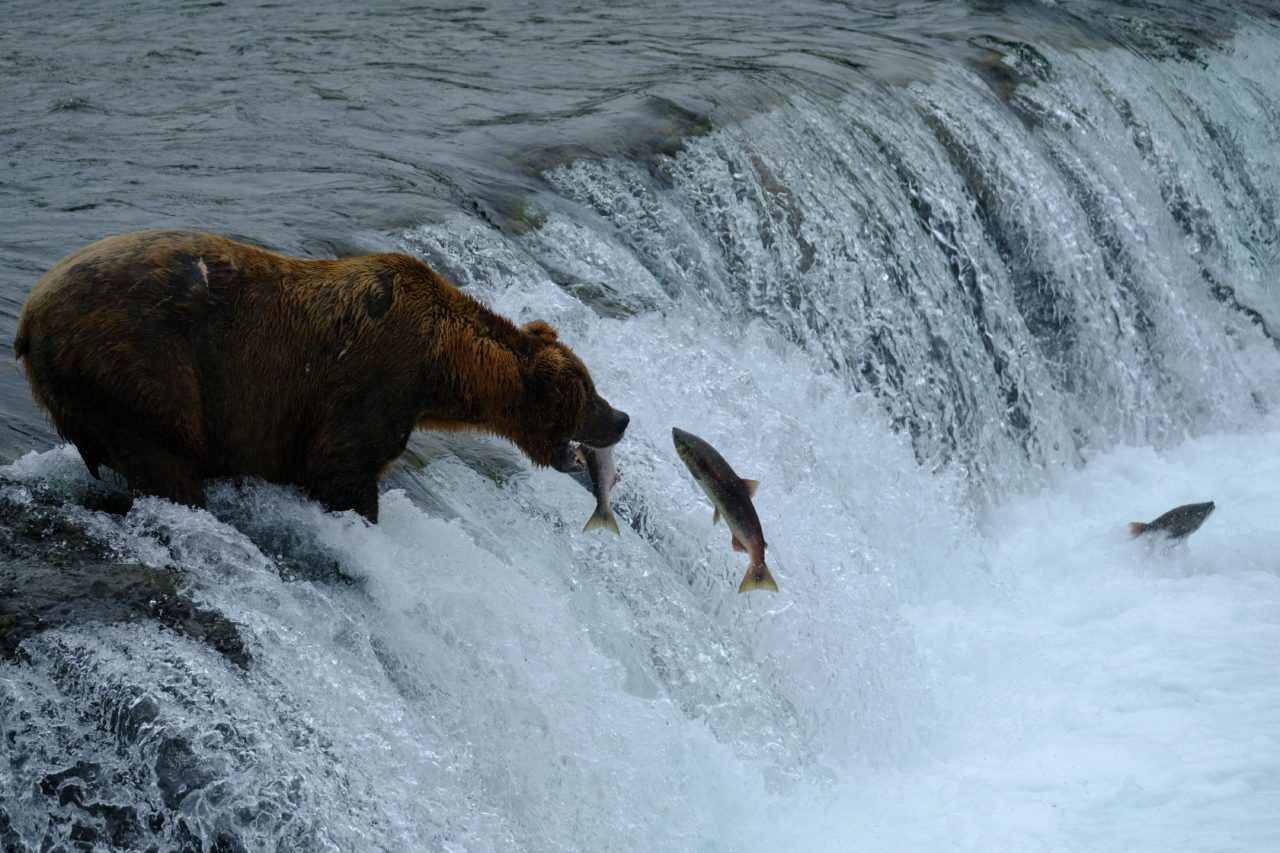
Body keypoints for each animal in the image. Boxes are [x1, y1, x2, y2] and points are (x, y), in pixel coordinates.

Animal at [13, 229, 629, 522]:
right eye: (586, 392)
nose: (622, 417)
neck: (440, 365)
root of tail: (28, 317)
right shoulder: (374, 379)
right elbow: (341, 467)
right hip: (141, 364)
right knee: (164, 456)